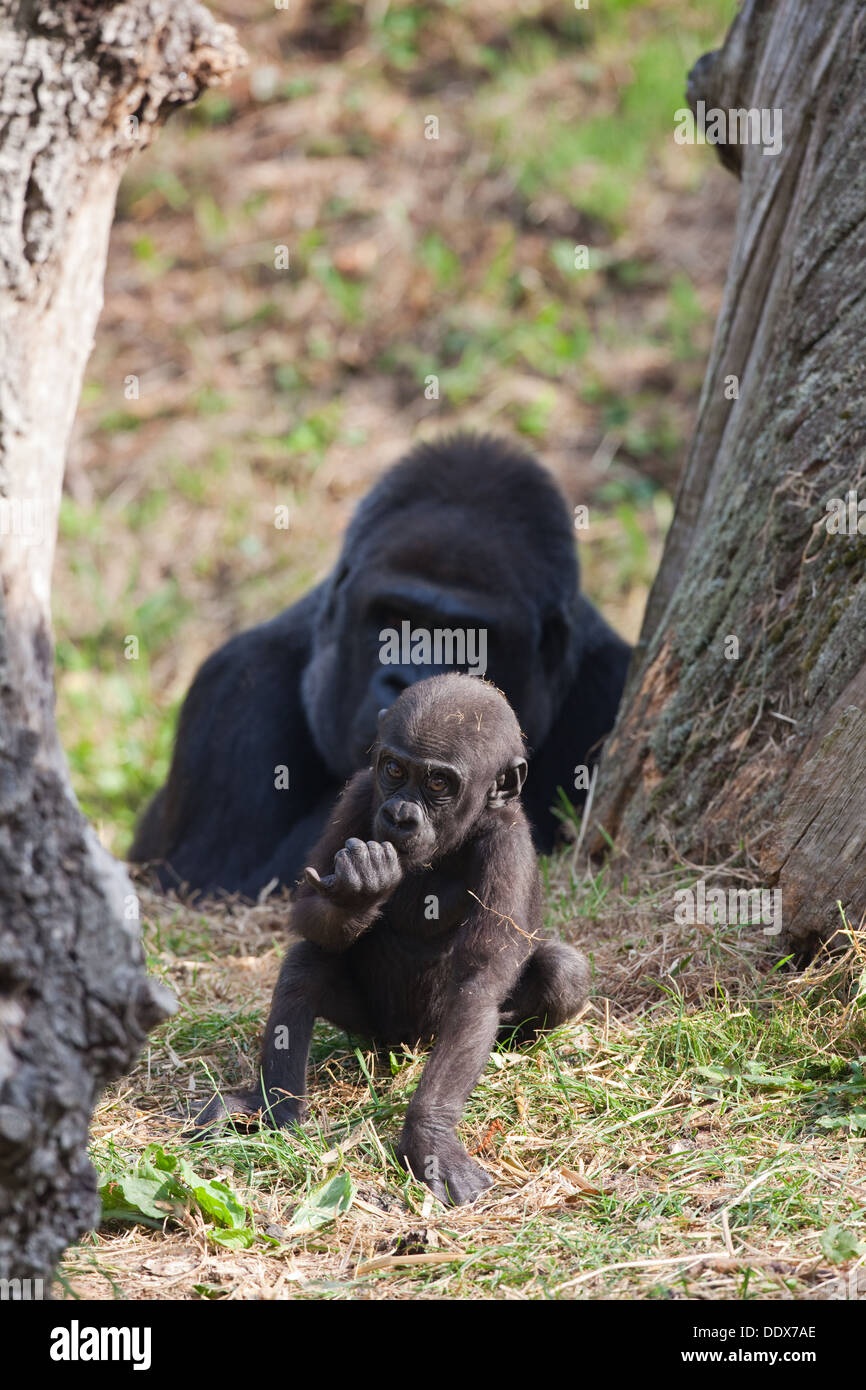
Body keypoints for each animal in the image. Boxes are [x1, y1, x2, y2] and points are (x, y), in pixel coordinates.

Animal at [128, 428, 631, 900]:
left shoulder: (610, 685)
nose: (409, 682)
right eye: (392, 619)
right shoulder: (234, 691)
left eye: (471, 638)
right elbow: (215, 884)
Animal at [193, 675, 589, 1206]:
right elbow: (309, 912)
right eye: (395, 770)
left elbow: (479, 986)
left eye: (438, 783)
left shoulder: (508, 845)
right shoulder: (361, 791)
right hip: (375, 1029)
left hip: (428, 1036)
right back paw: (273, 1106)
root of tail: (406, 1044)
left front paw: (430, 1135)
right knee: (307, 962)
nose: (400, 815)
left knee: (561, 972)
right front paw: (359, 893)